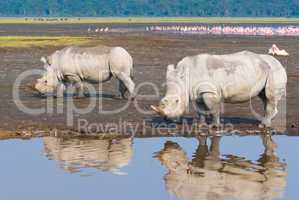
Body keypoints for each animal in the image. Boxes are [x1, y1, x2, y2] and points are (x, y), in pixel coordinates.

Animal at [152, 50, 288, 127]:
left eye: (177, 101)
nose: (167, 118)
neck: (186, 77)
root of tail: (279, 62)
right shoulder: (196, 93)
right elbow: (200, 110)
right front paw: (201, 125)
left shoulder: (210, 91)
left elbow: (213, 109)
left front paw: (214, 126)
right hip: (265, 69)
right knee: (264, 97)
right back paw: (266, 121)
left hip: (274, 71)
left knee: (269, 96)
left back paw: (264, 126)